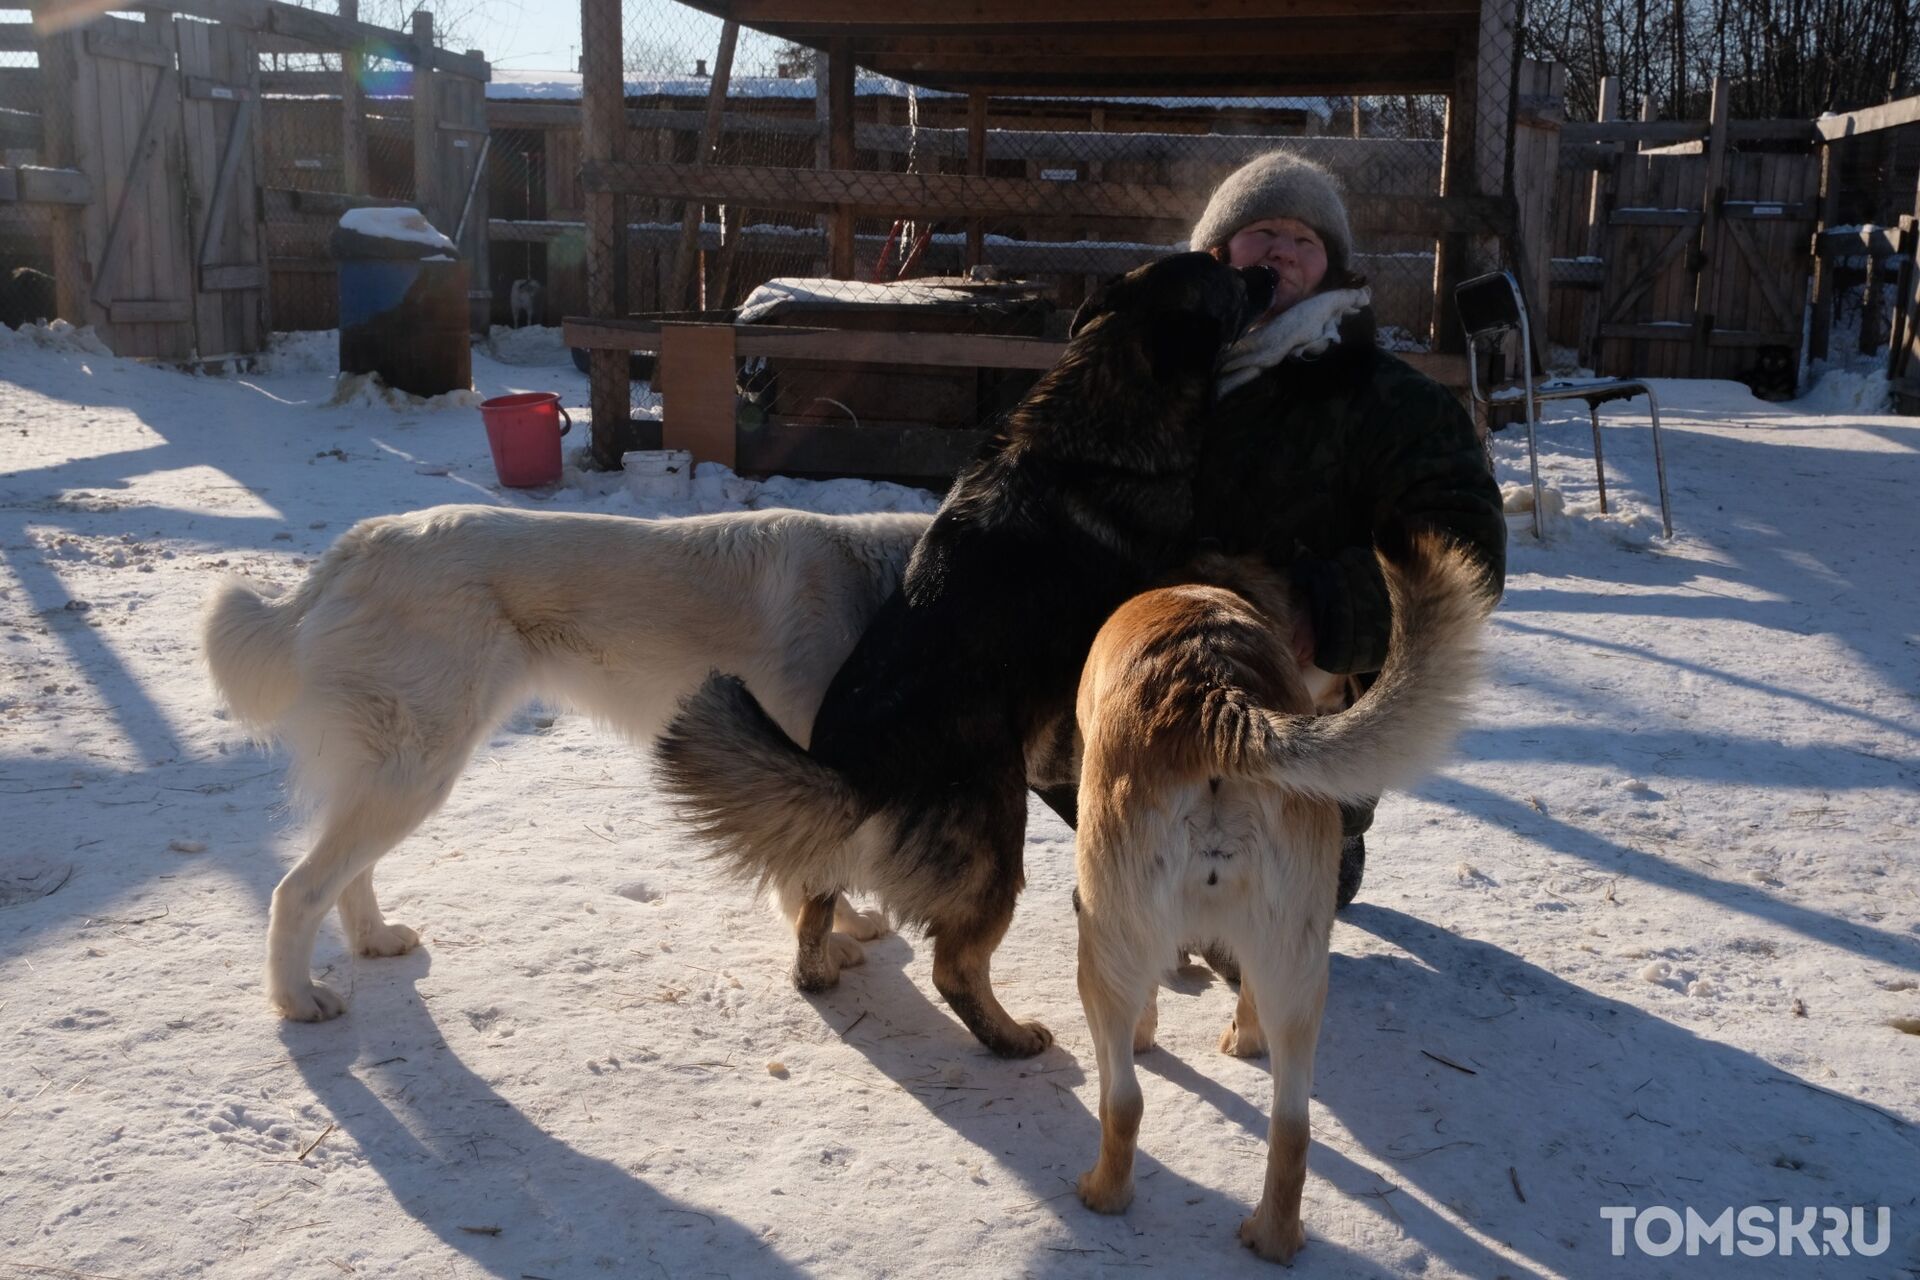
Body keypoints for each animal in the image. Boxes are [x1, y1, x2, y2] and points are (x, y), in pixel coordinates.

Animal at [656, 253, 1274, 1059]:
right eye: (1225, 277)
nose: (1268, 273)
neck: (1100, 400)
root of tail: (860, 769)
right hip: (995, 840)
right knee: (955, 967)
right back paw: (1012, 1038)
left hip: (853, 848)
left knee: (815, 900)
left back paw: (818, 971)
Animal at [1075, 537, 1489, 1266]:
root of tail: (1214, 696)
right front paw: (1243, 1039)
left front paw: (1153, 1034)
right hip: (1295, 967)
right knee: (1292, 1128)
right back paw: (1272, 1238)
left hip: (1104, 950)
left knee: (1123, 1100)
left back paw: (1105, 1194)